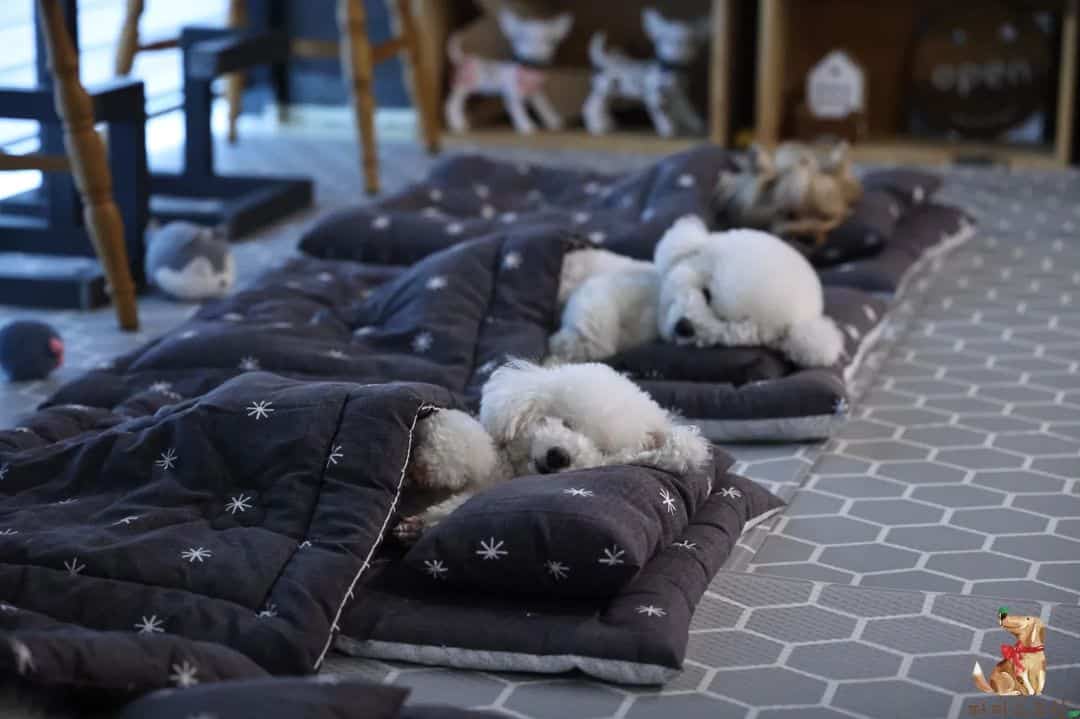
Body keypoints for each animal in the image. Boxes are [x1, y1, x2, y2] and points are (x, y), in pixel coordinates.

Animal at [397, 358, 708, 537]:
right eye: (566, 421)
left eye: (603, 449)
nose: (559, 456)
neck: (509, 470)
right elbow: (465, 439)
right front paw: (425, 466)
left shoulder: (478, 490)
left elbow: (456, 503)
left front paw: (418, 522)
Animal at [548, 212, 842, 367]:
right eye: (707, 293)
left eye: (726, 322)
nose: (685, 326)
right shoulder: (620, 285)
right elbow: (596, 305)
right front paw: (569, 345)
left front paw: (570, 349)